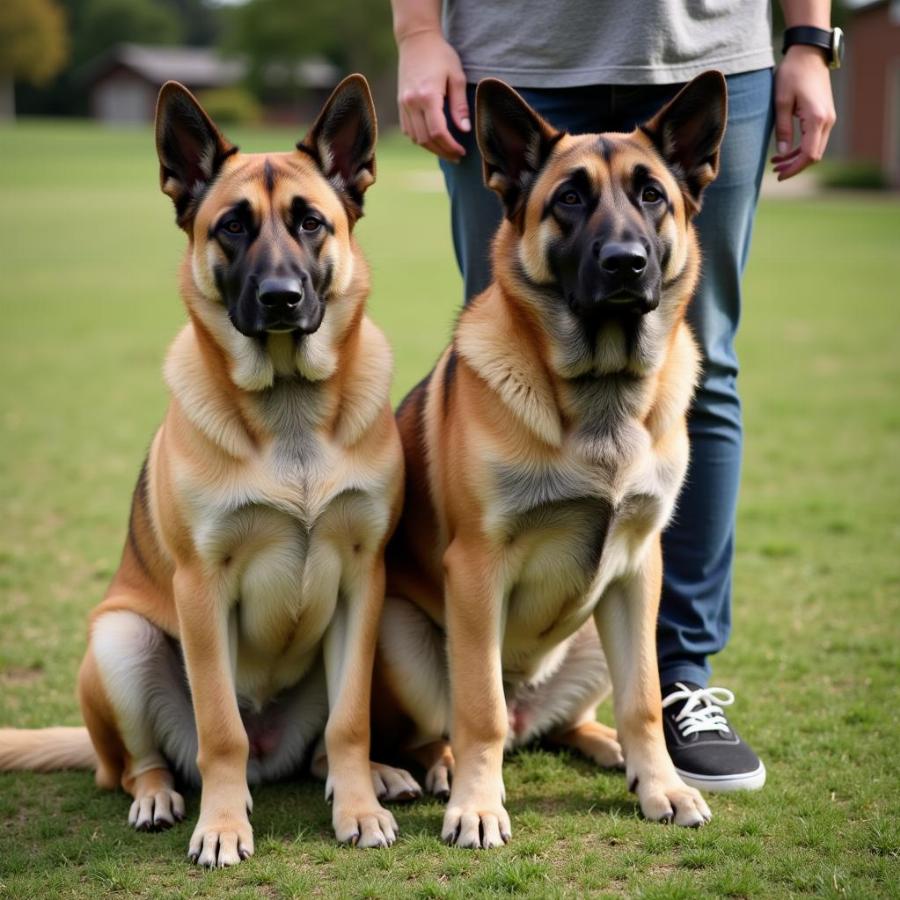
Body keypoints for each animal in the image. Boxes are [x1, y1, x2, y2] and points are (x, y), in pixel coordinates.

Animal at [0, 75, 414, 864]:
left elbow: (350, 721)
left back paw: (373, 776)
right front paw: (222, 825)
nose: (281, 298)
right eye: (233, 227)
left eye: (310, 222)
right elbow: (220, 728)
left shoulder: (362, 579)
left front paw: (359, 808)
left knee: (322, 746)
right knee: (140, 763)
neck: (288, 410)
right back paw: (159, 796)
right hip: (121, 640)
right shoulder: (201, 588)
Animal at [376, 72, 728, 852]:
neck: (600, 395)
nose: (626, 262)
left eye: (651, 194)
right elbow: (477, 709)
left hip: (598, 629)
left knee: (569, 722)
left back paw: (609, 749)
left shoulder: (638, 571)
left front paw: (661, 785)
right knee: (445, 728)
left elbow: (644, 699)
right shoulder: (476, 570)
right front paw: (477, 806)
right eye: (569, 198)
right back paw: (426, 769)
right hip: (400, 632)